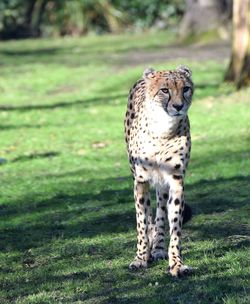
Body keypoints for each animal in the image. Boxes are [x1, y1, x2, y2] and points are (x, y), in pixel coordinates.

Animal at [124, 66, 193, 278]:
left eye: (186, 88)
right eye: (164, 90)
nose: (178, 106)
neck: (163, 130)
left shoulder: (176, 180)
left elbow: (175, 225)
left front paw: (176, 263)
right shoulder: (140, 180)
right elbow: (142, 222)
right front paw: (140, 258)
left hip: (163, 185)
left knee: (161, 213)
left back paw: (159, 249)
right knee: (148, 215)